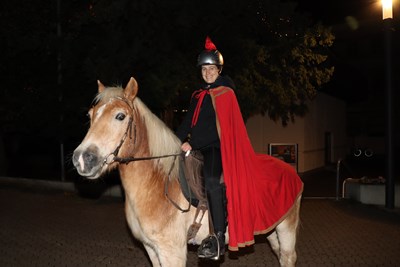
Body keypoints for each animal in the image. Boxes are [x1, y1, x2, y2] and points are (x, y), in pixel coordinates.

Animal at [73, 77, 302, 267]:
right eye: (90, 115)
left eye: (120, 116)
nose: (82, 158)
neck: (156, 183)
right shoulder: (152, 249)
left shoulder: (172, 251)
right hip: (270, 227)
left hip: (286, 227)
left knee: (288, 257)